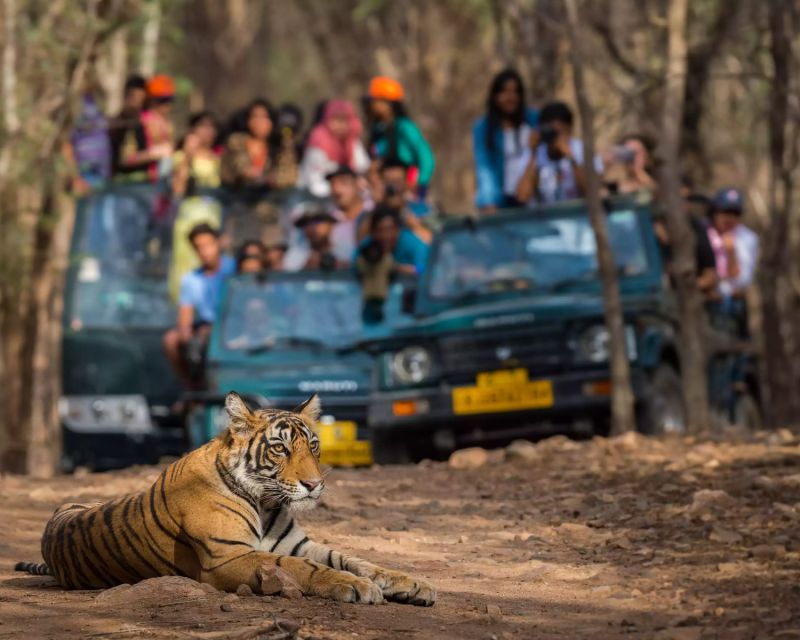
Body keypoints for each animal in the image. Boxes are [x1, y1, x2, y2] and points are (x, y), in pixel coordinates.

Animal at [15, 392, 436, 606]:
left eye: (313, 446)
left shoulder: (298, 543)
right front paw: (358, 587)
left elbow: (356, 559)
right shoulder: (227, 557)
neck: (266, 501)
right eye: (281, 449)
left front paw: (413, 584)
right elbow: (305, 568)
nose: (314, 484)